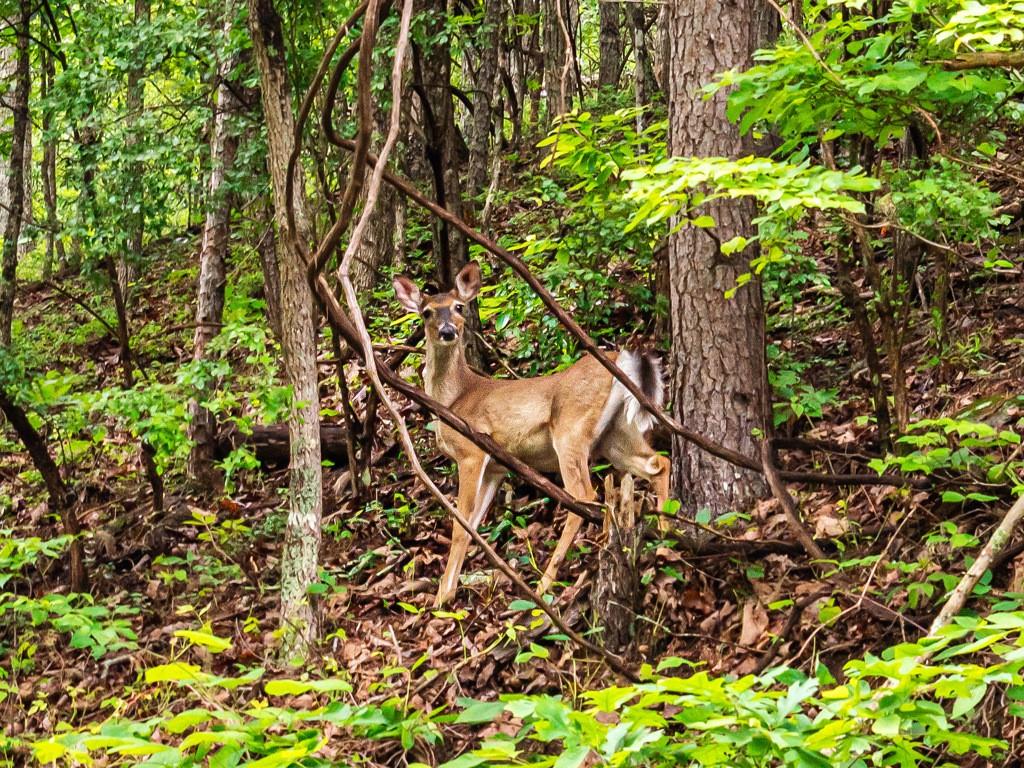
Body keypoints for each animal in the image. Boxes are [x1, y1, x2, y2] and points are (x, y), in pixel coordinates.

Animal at [393, 264, 671, 606]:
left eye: (458, 307)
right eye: (427, 312)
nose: (448, 331)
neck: (454, 398)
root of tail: (621, 360)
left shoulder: (472, 450)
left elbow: (460, 525)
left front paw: (441, 599)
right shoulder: (496, 468)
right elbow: (472, 525)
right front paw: (448, 592)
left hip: (570, 430)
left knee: (586, 496)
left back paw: (545, 584)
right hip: (616, 435)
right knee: (658, 463)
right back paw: (666, 534)